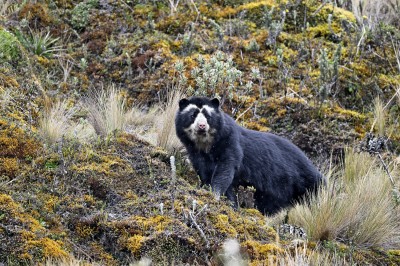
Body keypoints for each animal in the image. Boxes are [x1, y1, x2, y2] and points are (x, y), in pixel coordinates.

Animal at [176, 96, 324, 215]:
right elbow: (205, 172)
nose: (201, 126)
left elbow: (225, 169)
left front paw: (215, 194)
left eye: (208, 116)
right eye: (193, 115)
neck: (206, 144)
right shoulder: (195, 152)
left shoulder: (229, 142)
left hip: (303, 181)